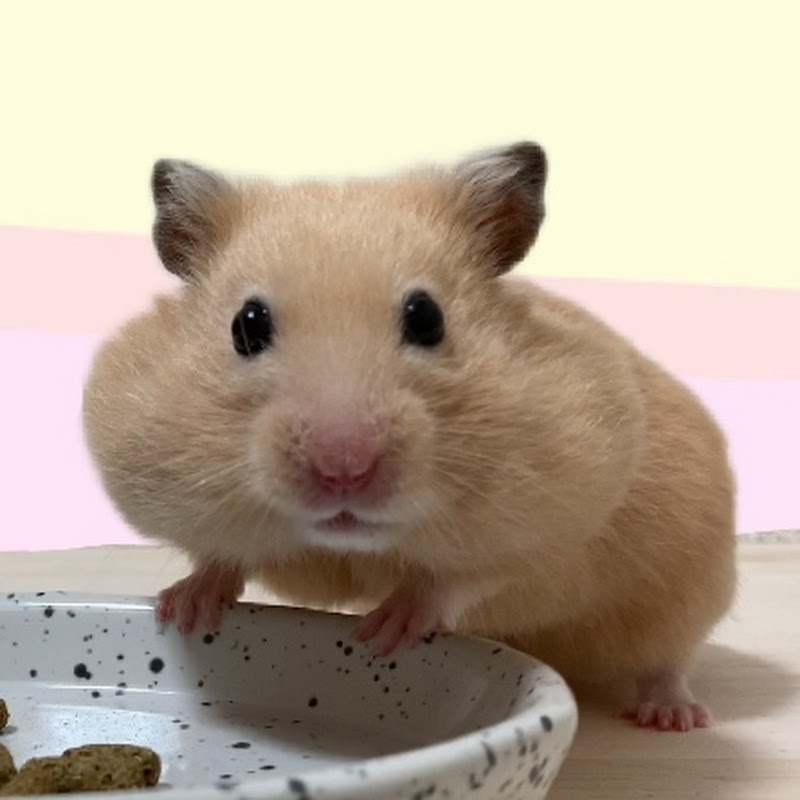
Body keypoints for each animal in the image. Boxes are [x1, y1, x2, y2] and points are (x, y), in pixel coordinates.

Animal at [82, 142, 737, 732]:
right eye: (247, 325)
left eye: (426, 317)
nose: (343, 469)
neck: (353, 544)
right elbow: (219, 557)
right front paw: (182, 610)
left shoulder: (549, 520)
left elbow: (453, 578)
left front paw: (382, 633)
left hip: (688, 589)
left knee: (667, 661)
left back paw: (671, 717)